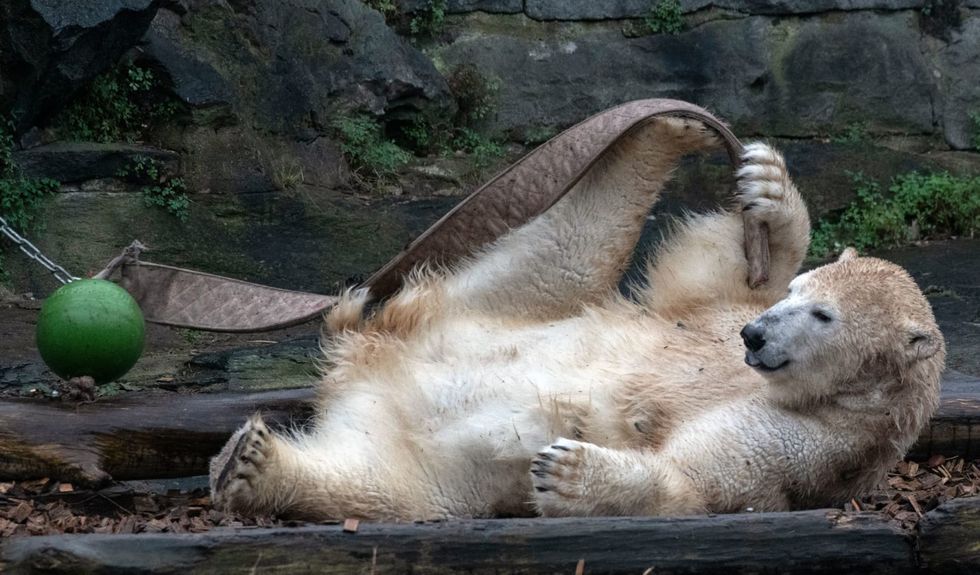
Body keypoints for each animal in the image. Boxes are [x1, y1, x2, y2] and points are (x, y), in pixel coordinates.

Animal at [209, 117, 945, 521]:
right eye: (795, 292)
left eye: (822, 315)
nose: (757, 334)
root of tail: (361, 373)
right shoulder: (710, 317)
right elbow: (705, 275)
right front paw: (767, 184)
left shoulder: (822, 445)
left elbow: (701, 481)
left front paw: (569, 472)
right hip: (483, 312)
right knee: (563, 250)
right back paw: (664, 130)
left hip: (426, 457)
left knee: (379, 485)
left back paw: (251, 464)